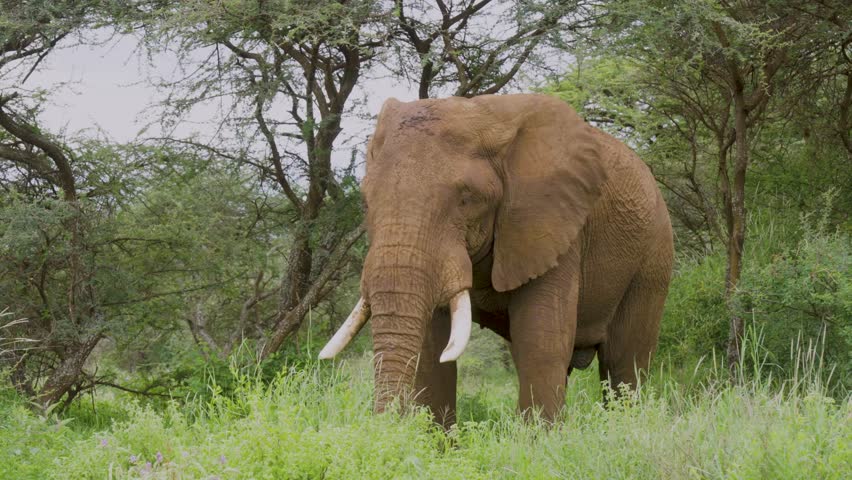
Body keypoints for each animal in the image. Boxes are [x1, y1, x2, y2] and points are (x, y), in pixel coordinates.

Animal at [319, 93, 673, 427]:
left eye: (467, 198)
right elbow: (433, 353)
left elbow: (539, 343)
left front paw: (538, 443)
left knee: (624, 363)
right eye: (365, 202)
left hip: (653, 257)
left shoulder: (552, 224)